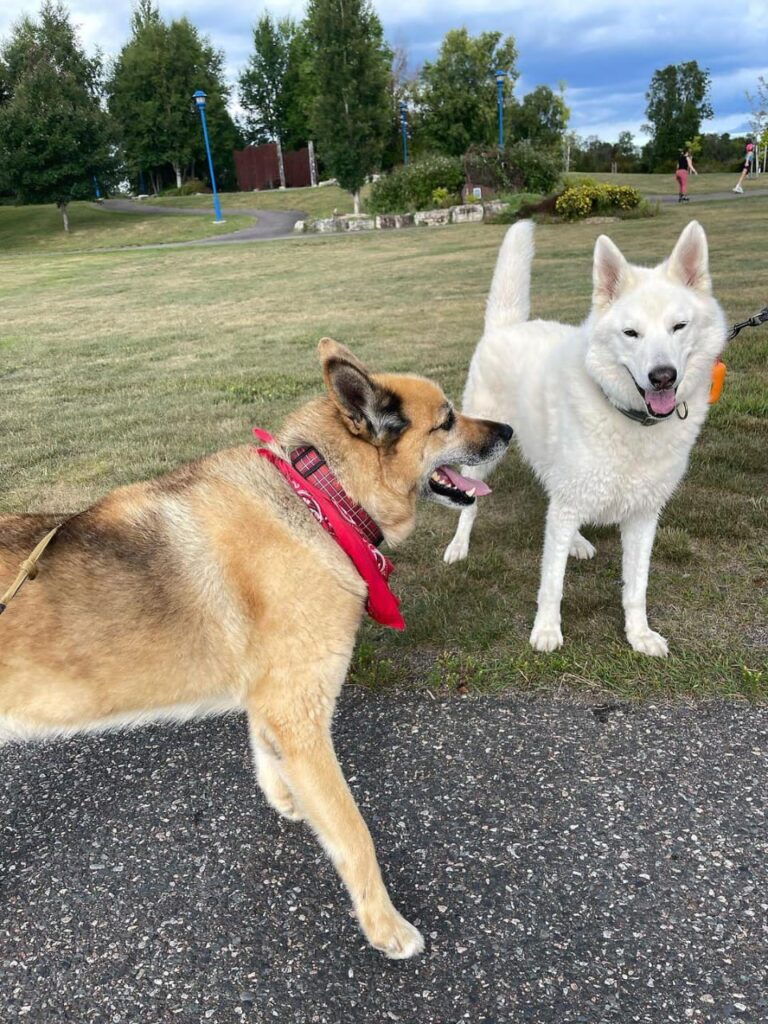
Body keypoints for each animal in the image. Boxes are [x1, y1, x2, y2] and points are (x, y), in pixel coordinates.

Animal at [3, 339, 514, 954]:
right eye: (446, 420)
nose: (510, 430)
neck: (322, 498)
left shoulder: (277, 701)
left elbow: (263, 749)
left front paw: (285, 796)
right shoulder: (303, 716)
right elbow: (354, 833)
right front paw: (384, 925)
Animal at [444, 220, 729, 659]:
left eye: (678, 327)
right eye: (631, 333)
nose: (663, 377)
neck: (630, 420)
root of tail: (506, 326)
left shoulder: (643, 515)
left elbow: (636, 587)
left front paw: (639, 634)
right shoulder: (569, 503)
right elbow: (552, 583)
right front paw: (546, 630)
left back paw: (577, 541)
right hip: (484, 457)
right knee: (471, 504)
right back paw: (459, 546)